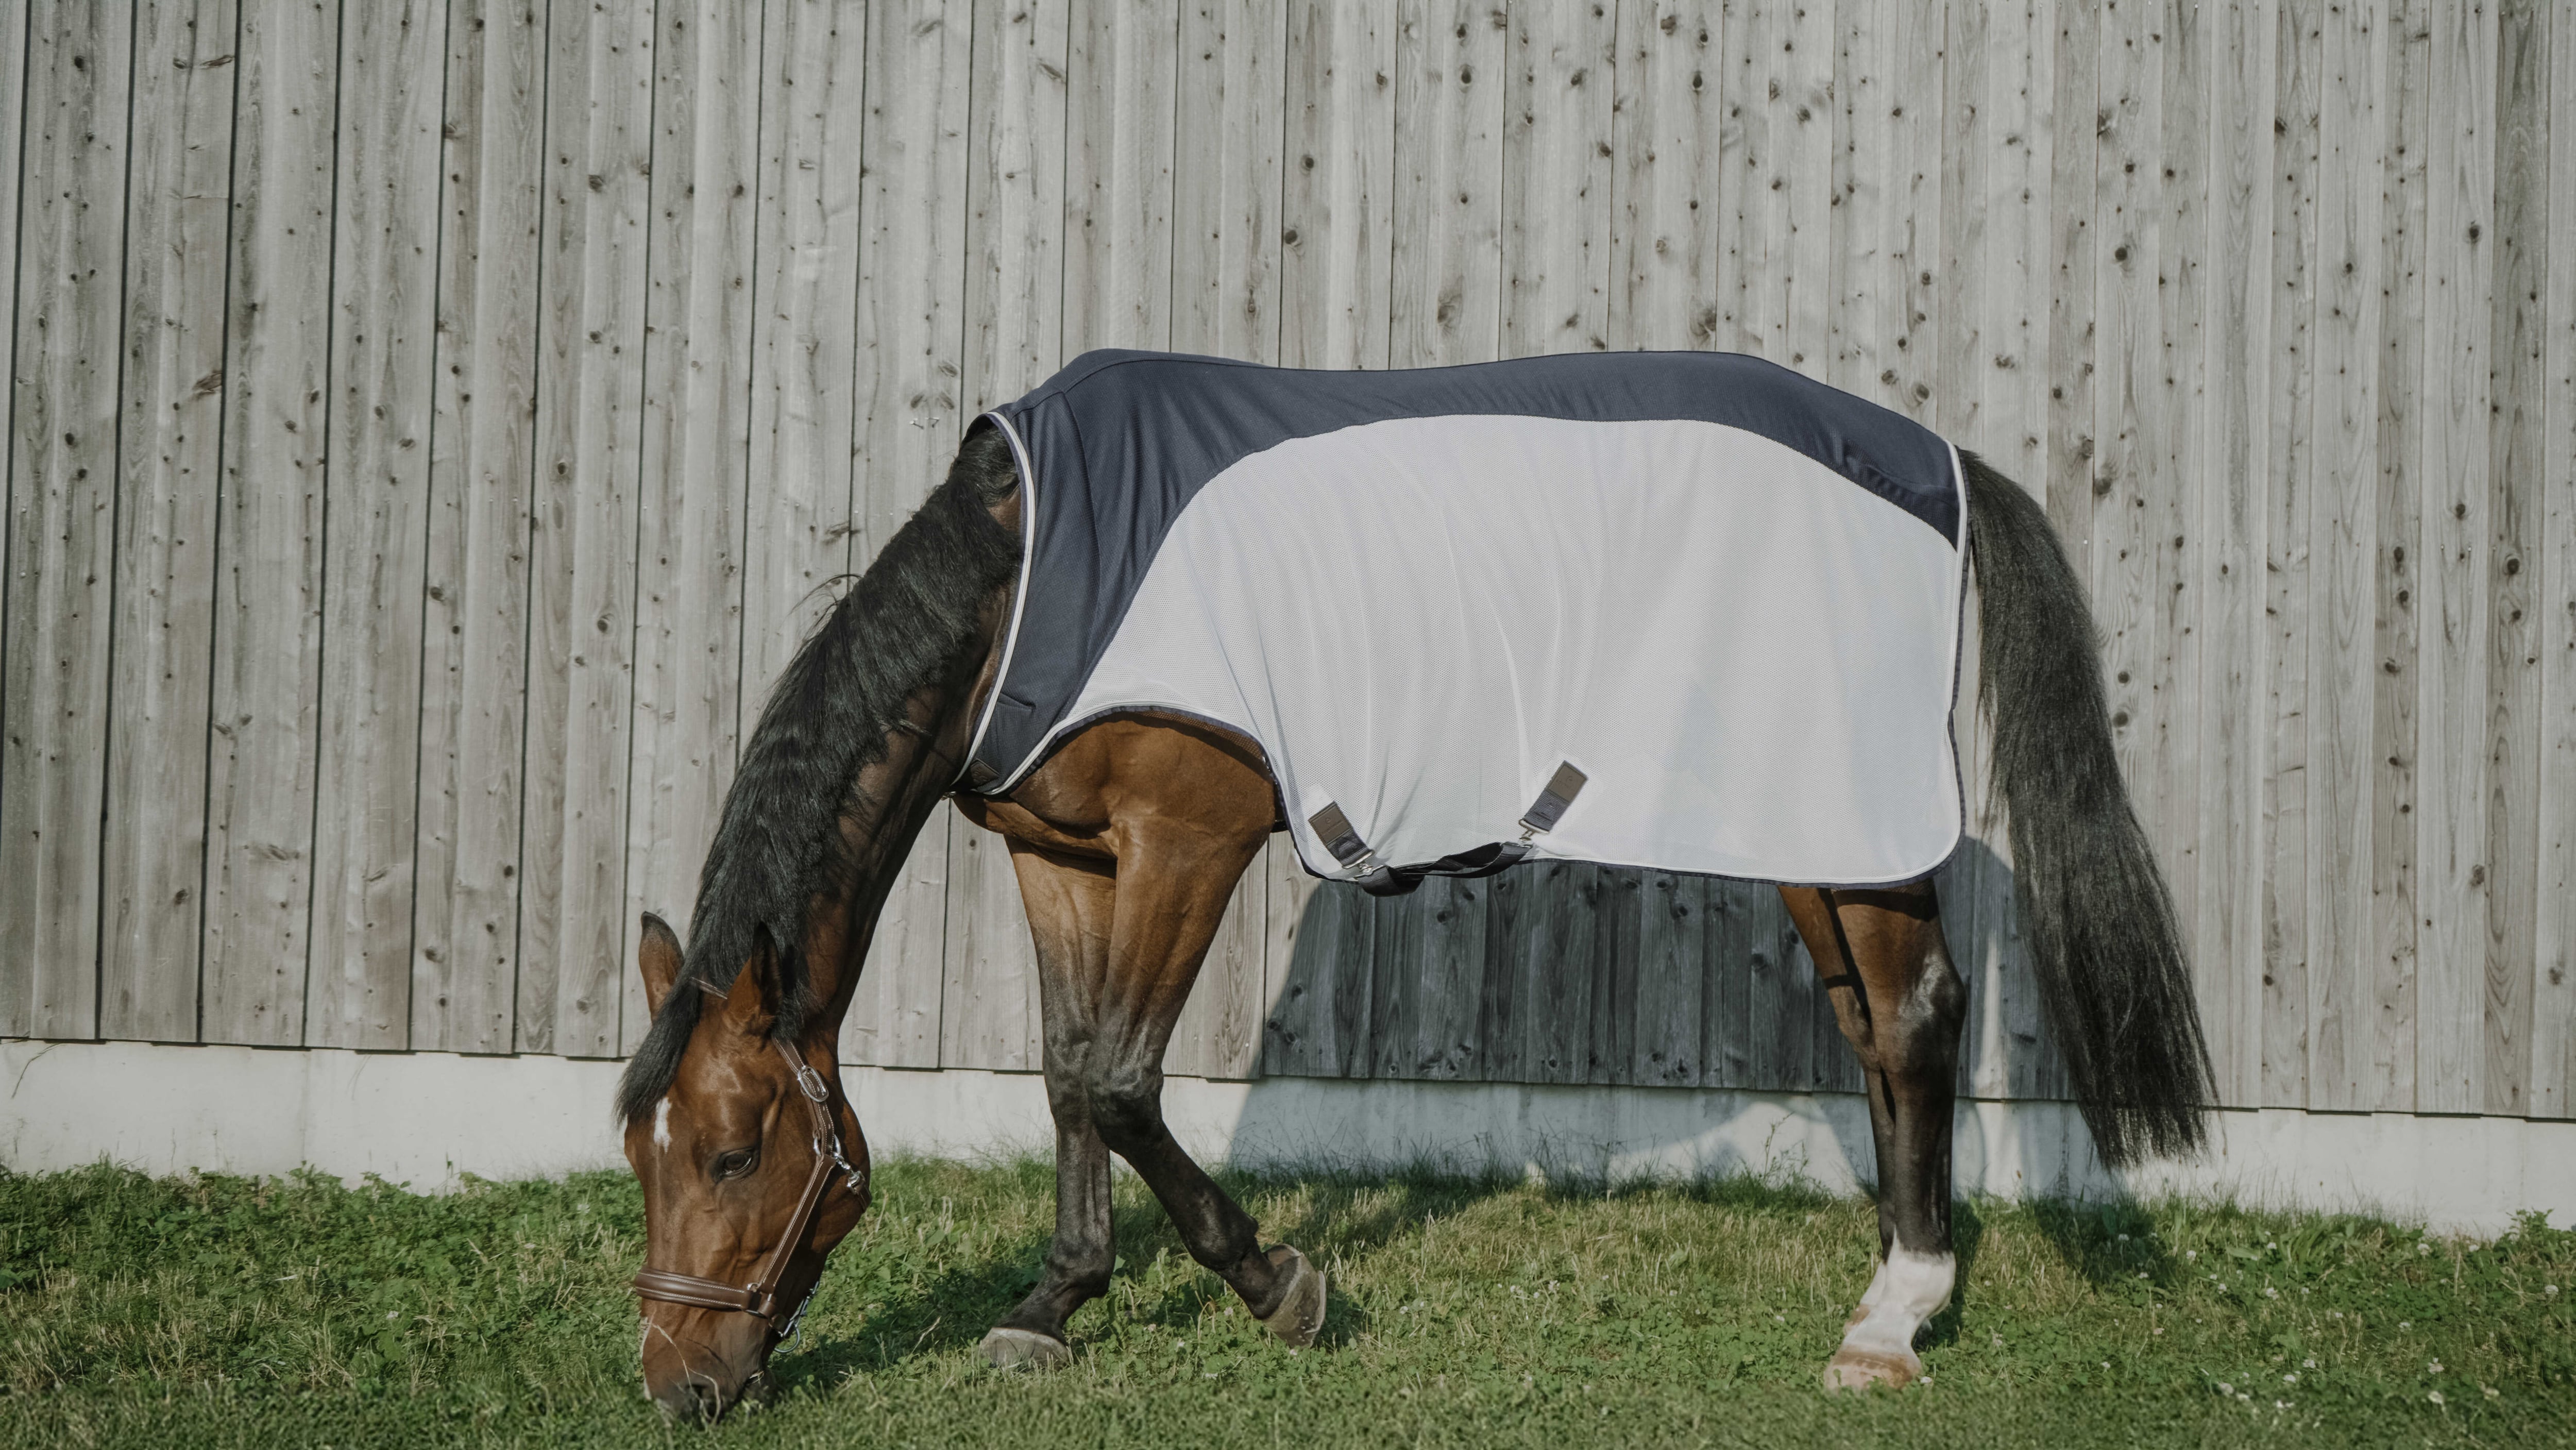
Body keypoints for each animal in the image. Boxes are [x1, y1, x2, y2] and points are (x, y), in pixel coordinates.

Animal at [612, 351, 2212, 1420]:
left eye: (738, 1152)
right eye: (644, 1150)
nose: (679, 1381)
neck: (1039, 574)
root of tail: (1931, 457)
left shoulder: (1189, 839)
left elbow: (1122, 1080)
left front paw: (1281, 1286)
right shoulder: (1060, 853)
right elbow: (1068, 1075)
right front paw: (1053, 1305)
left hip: (1841, 814)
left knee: (1915, 1014)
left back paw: (1895, 1316)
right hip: (1815, 830)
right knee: (1877, 1025)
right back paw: (1893, 1282)